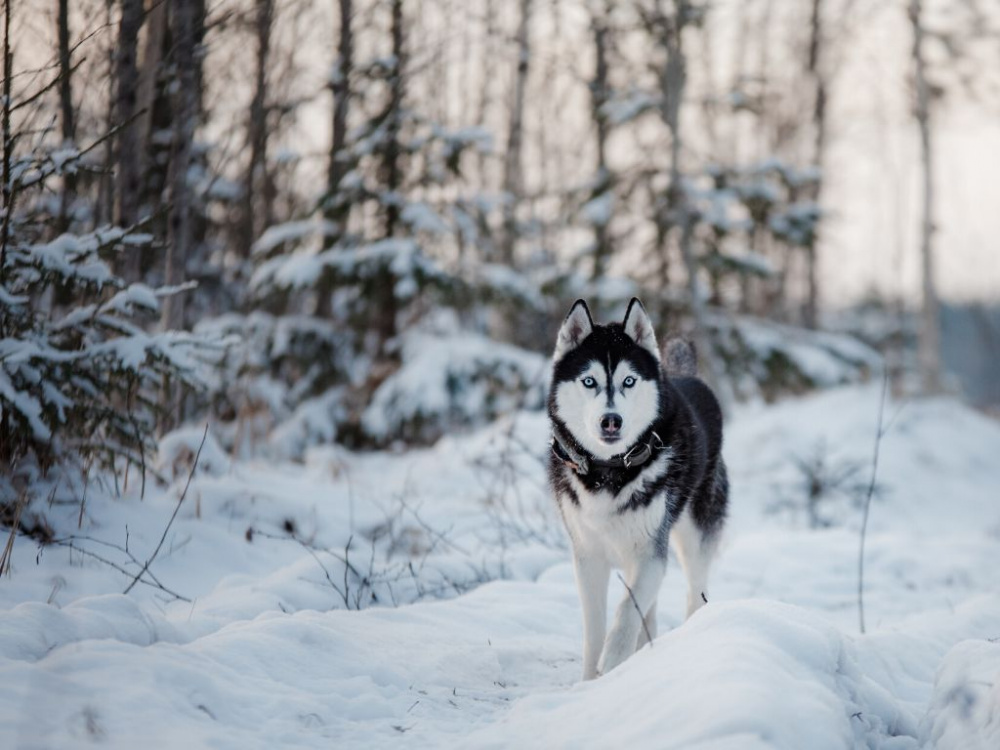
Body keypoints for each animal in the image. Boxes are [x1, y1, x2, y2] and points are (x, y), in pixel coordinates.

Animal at [548, 298, 728, 680]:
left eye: (629, 381)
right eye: (589, 381)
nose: (611, 421)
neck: (608, 472)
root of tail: (688, 377)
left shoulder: (649, 555)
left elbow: (625, 615)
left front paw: (613, 663)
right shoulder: (587, 557)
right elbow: (595, 630)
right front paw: (590, 681)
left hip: (694, 533)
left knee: (695, 592)